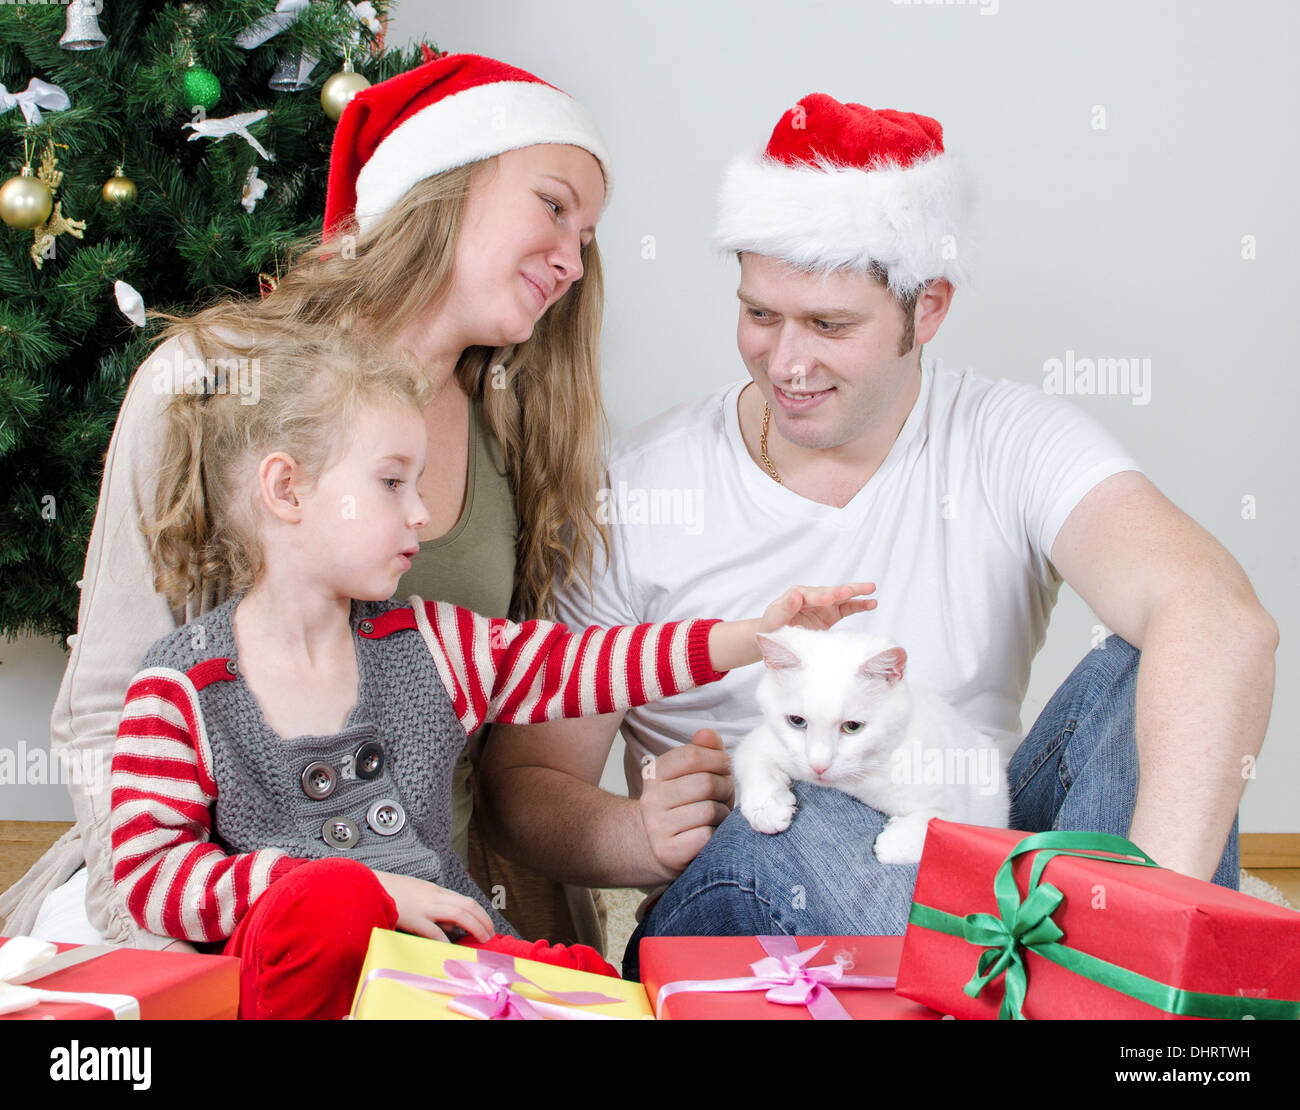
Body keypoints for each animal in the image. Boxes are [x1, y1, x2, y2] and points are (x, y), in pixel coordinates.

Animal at [728, 626, 1008, 868]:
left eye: (853, 727)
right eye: (797, 721)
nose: (819, 766)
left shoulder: (955, 799)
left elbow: (940, 821)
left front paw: (896, 842)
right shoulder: (762, 742)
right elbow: (752, 762)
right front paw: (768, 807)